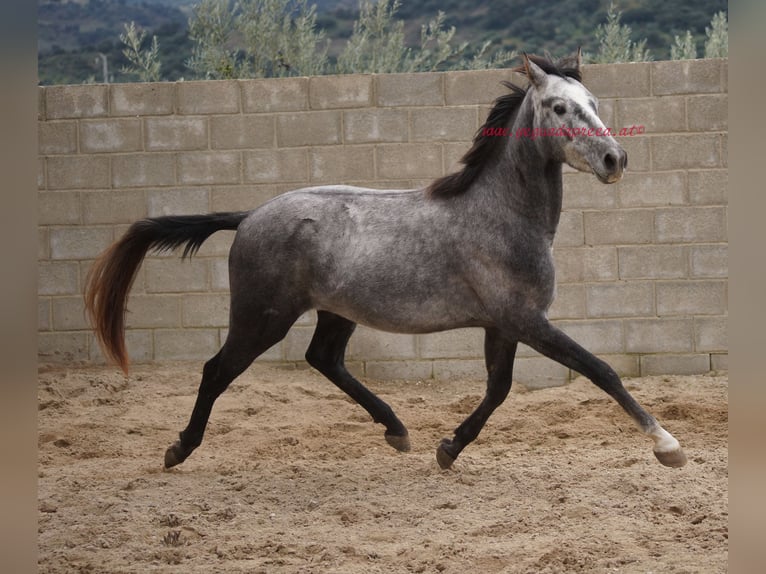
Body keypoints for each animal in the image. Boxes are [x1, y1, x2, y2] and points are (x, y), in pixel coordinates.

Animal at [87, 54, 688, 474]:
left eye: (594, 101)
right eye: (561, 108)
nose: (616, 159)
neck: (501, 215)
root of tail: (252, 215)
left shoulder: (504, 324)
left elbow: (499, 389)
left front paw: (447, 449)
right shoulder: (525, 321)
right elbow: (599, 369)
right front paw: (669, 446)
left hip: (334, 312)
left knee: (324, 359)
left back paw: (397, 430)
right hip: (262, 317)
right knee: (217, 370)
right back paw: (178, 450)